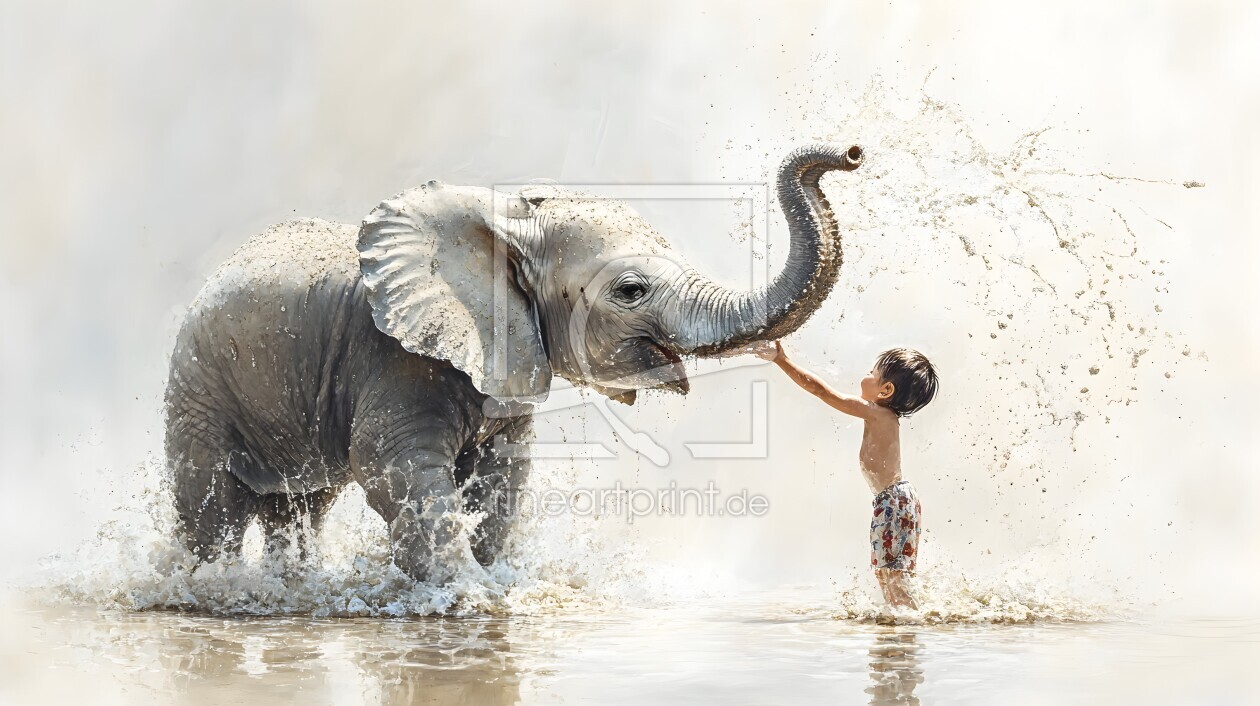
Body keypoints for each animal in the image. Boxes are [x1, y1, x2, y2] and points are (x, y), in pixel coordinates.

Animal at [164, 143, 864, 582]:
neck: (504, 222)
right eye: (630, 290)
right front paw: (466, 598)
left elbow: (505, 477)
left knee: (300, 509)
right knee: (213, 509)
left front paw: (495, 585)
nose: (852, 154)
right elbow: (394, 469)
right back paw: (213, 588)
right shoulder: (393, 358)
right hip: (198, 386)